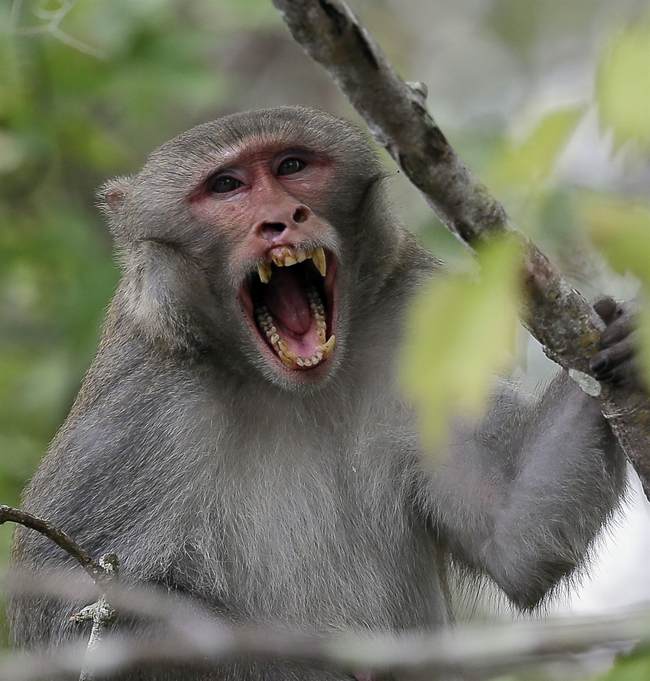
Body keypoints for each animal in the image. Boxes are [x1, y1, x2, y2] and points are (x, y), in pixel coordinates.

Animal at [8, 106, 636, 680]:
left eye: (292, 166)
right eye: (227, 186)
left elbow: (514, 532)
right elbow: (70, 619)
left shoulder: (411, 324)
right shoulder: (142, 406)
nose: (281, 219)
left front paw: (624, 334)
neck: (288, 388)